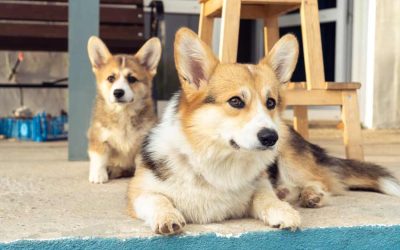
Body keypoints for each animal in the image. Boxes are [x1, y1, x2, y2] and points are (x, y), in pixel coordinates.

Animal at [87, 36, 161, 184]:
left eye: (132, 79)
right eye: (111, 78)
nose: (118, 92)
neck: (123, 113)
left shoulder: (143, 143)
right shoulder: (99, 137)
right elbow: (99, 158)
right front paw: (98, 176)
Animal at [126, 28, 302, 235]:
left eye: (271, 103)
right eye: (235, 101)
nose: (271, 137)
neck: (217, 160)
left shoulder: (260, 184)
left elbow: (266, 196)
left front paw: (283, 210)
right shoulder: (139, 192)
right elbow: (158, 199)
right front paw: (167, 216)